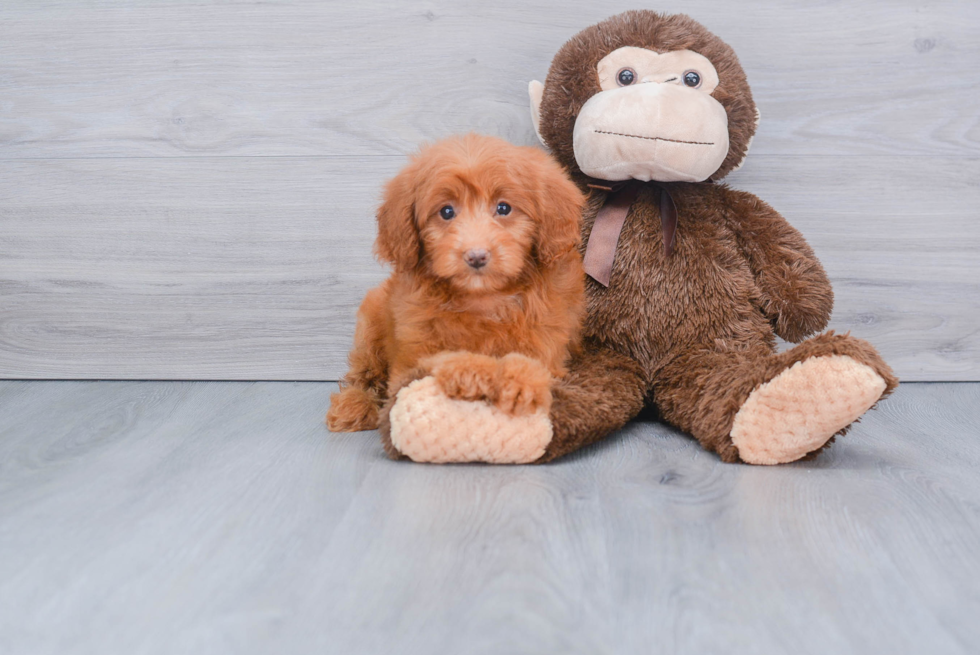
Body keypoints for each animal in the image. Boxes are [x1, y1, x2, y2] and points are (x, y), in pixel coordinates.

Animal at [326, 134, 584, 434]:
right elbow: (438, 360)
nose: (476, 256)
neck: (482, 297)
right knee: (364, 372)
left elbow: (532, 363)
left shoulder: (546, 336)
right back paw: (354, 404)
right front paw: (468, 371)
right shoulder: (415, 346)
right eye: (446, 212)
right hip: (371, 321)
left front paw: (520, 385)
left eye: (504, 208)